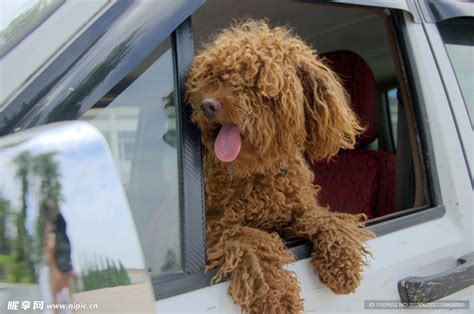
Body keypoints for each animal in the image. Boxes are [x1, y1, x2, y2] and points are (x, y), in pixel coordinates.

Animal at [185, 20, 374, 314]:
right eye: (213, 75)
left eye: (255, 80)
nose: (207, 106)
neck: (259, 171)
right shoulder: (215, 228)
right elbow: (251, 241)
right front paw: (276, 295)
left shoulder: (297, 211)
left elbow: (326, 218)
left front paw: (342, 263)